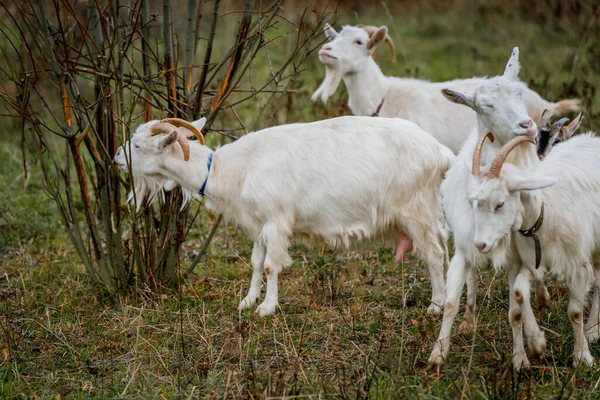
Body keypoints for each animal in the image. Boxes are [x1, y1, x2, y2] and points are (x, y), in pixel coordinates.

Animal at [115, 115, 454, 316]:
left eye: (137, 145)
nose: (117, 156)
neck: (235, 170)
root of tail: (441, 152)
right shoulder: (259, 224)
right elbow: (255, 262)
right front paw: (247, 301)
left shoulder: (276, 222)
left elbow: (269, 266)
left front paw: (266, 308)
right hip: (430, 212)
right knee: (444, 252)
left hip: (416, 211)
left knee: (434, 255)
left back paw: (436, 306)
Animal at [426, 47, 552, 372]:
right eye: (485, 105)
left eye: (520, 93)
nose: (527, 126)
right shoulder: (464, 246)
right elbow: (450, 302)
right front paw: (438, 355)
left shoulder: (516, 257)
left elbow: (517, 307)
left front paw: (524, 356)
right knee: (472, 279)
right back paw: (470, 319)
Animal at [466, 130, 600, 368]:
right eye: (475, 204)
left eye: (500, 203)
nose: (480, 244)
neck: (542, 217)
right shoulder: (530, 264)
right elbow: (518, 297)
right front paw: (534, 347)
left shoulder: (576, 265)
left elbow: (575, 313)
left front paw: (582, 356)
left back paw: (592, 330)